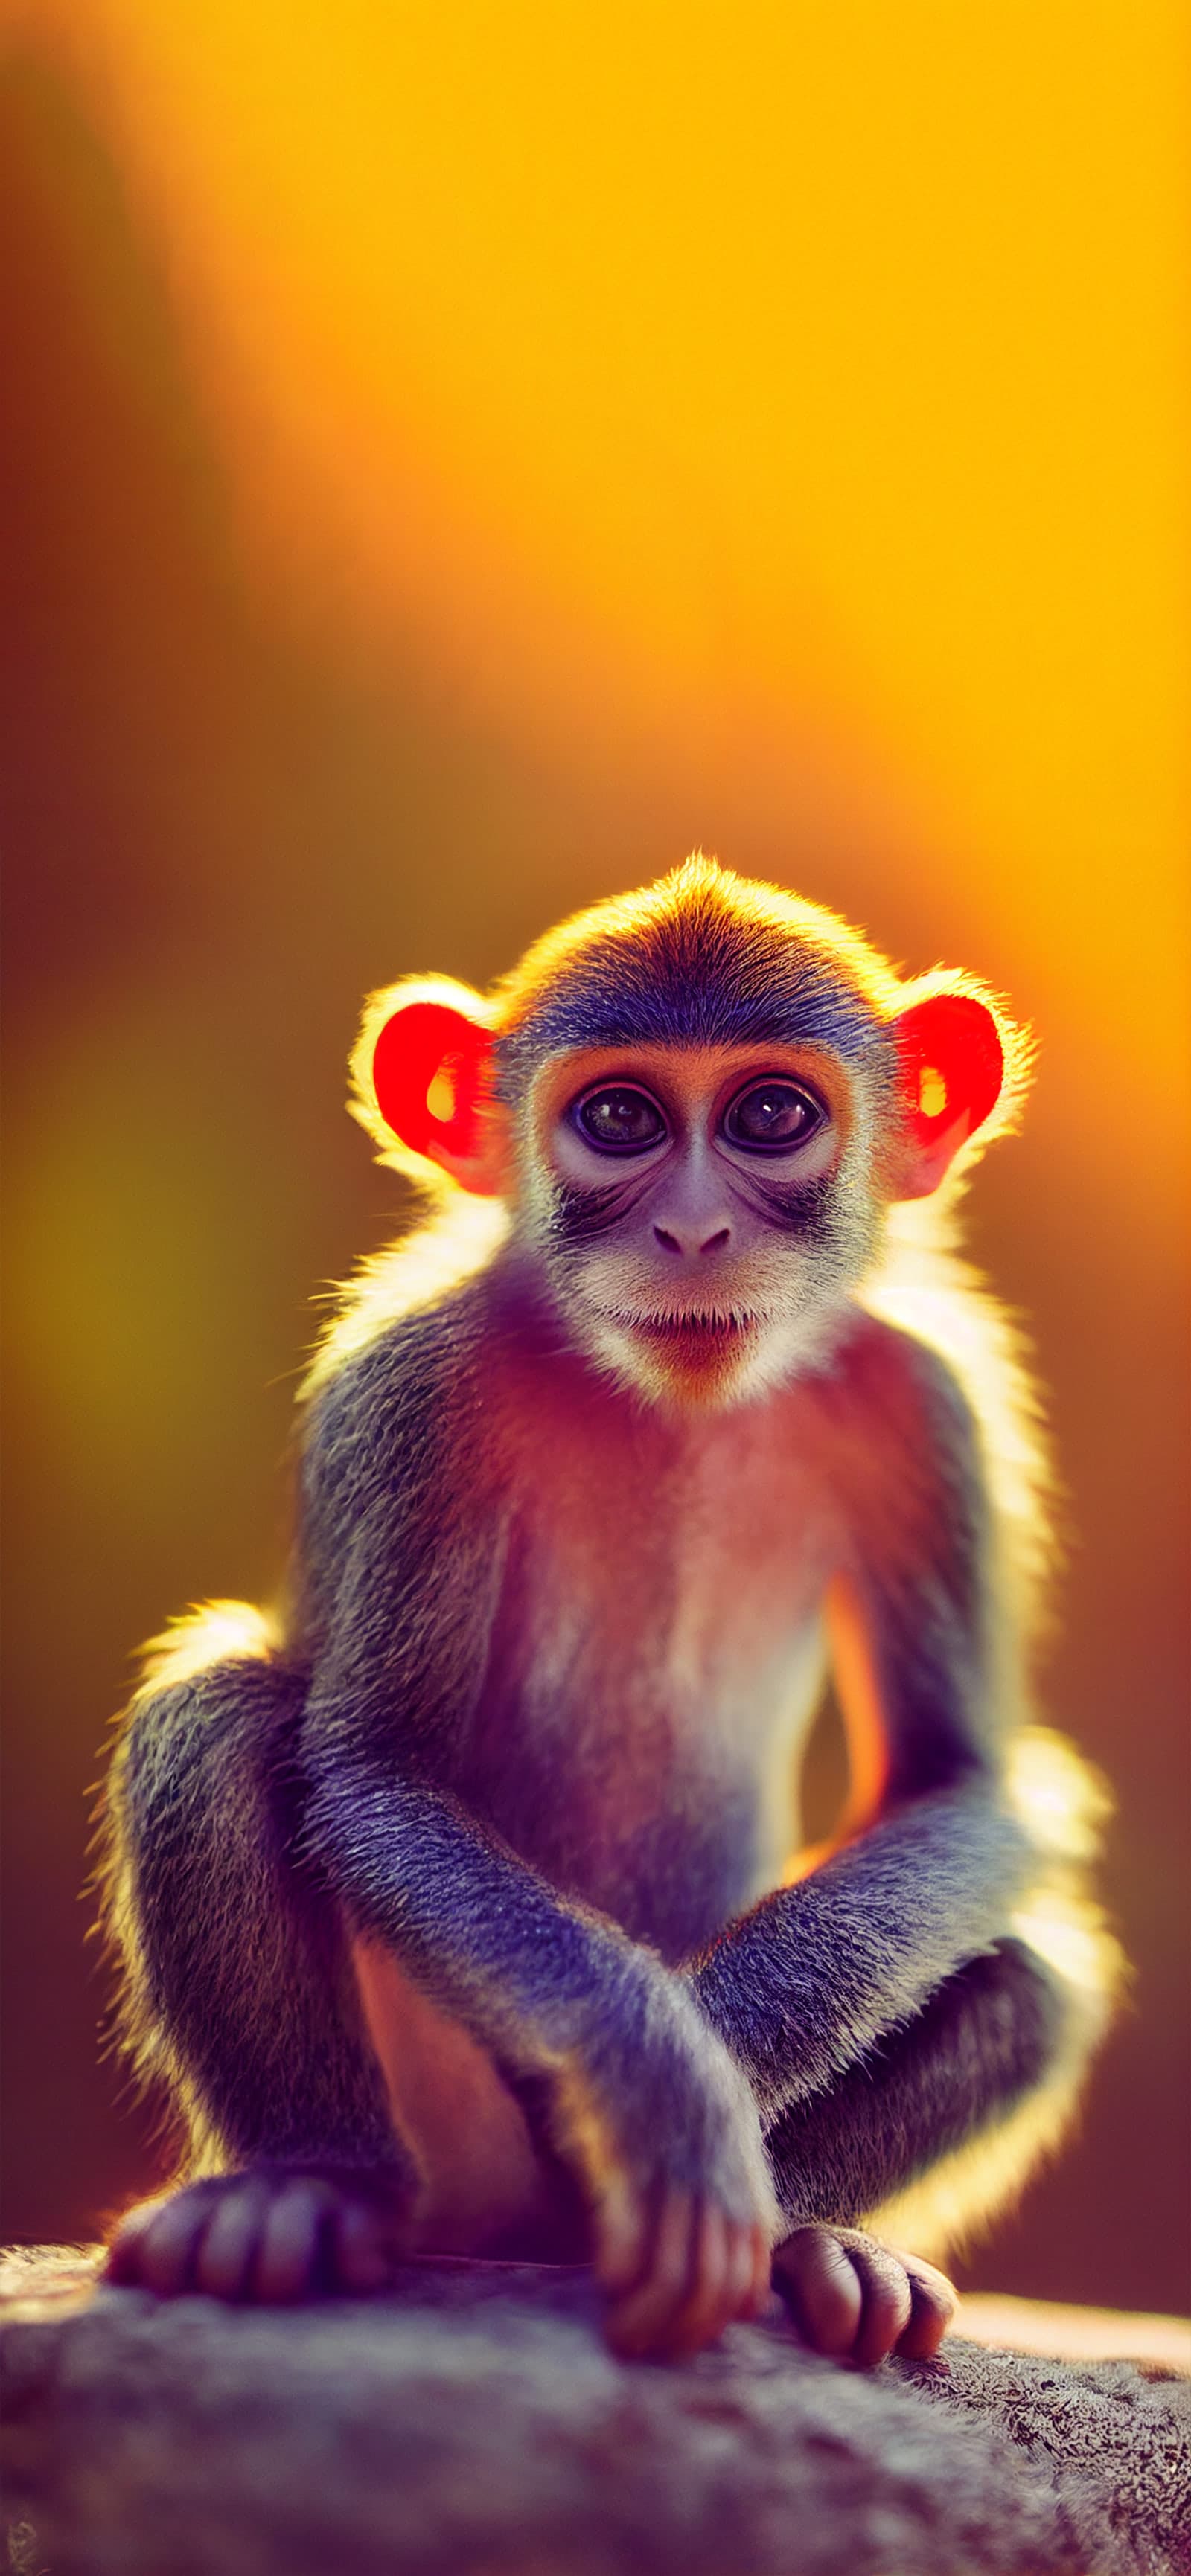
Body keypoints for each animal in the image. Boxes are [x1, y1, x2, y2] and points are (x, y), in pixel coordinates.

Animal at [99, 855, 1118, 2366]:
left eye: (772, 1114)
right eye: (620, 1117)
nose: (691, 1230)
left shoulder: (929, 1405)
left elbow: (960, 1782)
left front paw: (729, 2055)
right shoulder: (414, 1388)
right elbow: (372, 1772)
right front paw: (664, 2087)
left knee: (1034, 1979)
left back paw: (810, 2242)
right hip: (442, 2117)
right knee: (217, 1716)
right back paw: (301, 2182)